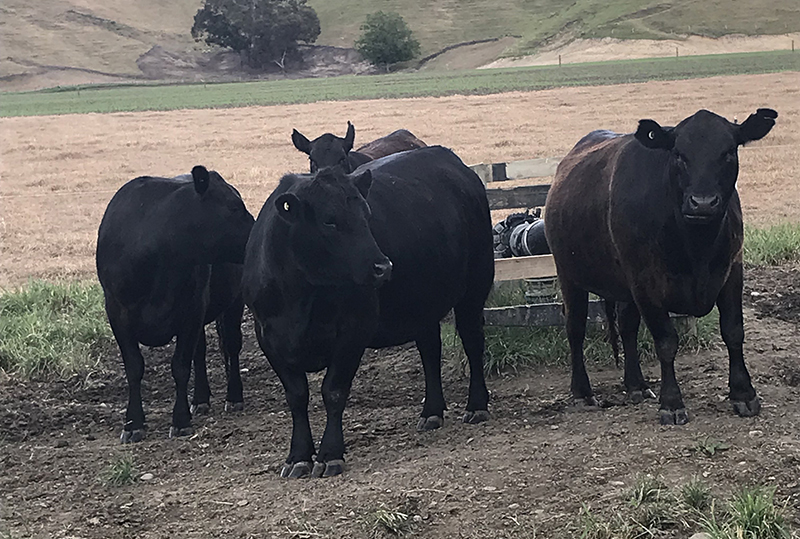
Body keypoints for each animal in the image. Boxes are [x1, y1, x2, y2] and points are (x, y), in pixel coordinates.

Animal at [96, 166, 255, 442]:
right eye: (234, 207)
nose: (258, 229)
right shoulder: (117, 312)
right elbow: (134, 367)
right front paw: (133, 423)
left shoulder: (191, 310)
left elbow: (180, 366)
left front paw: (180, 421)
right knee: (200, 352)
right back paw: (200, 399)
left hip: (233, 301)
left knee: (231, 346)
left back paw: (234, 397)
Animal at [242, 146, 493, 478]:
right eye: (329, 221)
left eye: (367, 216)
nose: (383, 267)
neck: (300, 297)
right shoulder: (268, 337)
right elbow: (296, 396)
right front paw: (298, 457)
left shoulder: (353, 330)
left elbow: (333, 391)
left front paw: (330, 455)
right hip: (422, 304)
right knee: (430, 351)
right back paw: (431, 411)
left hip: (475, 286)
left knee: (473, 341)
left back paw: (476, 405)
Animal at [544, 108, 777, 425]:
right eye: (678, 154)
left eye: (729, 151)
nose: (703, 203)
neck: (696, 247)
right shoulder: (646, 281)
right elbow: (666, 341)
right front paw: (672, 402)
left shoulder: (732, 270)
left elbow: (733, 331)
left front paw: (744, 394)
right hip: (570, 275)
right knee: (575, 328)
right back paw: (582, 392)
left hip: (623, 284)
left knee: (627, 327)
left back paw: (636, 385)